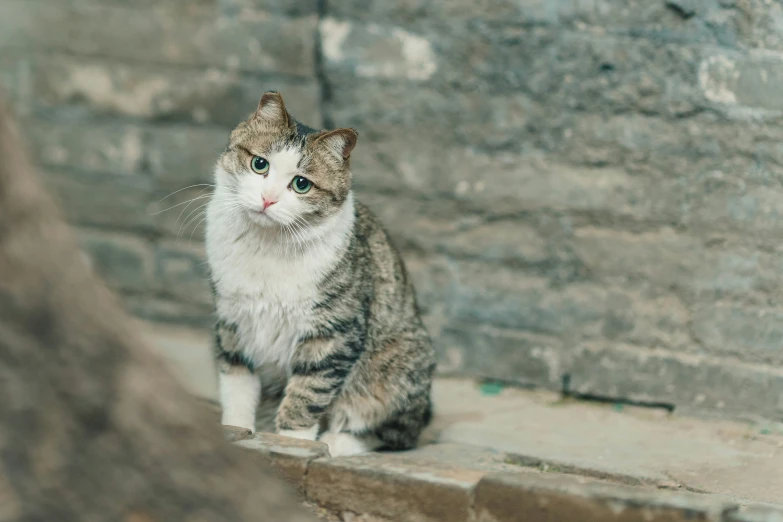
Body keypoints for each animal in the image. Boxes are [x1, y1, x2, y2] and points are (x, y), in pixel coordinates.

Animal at [205, 93, 438, 456]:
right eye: (260, 164)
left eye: (301, 184)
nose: (268, 199)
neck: (266, 244)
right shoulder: (233, 322)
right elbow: (237, 386)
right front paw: (237, 432)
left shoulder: (332, 333)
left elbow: (307, 394)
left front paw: (292, 445)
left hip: (398, 363)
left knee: (394, 430)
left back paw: (336, 442)